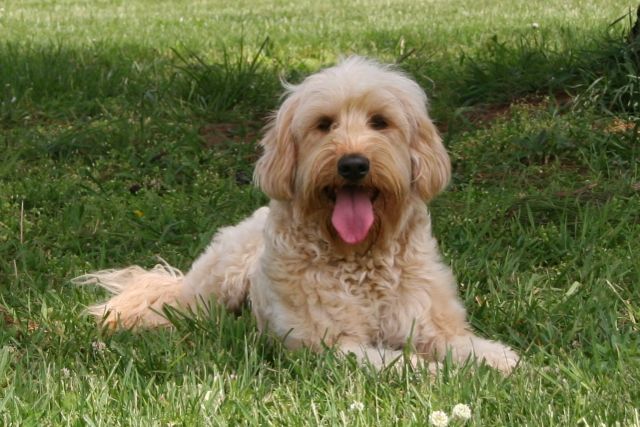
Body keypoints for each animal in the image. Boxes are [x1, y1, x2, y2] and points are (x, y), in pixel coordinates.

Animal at [79, 57, 520, 374]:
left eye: (380, 121)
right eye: (324, 125)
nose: (353, 165)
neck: (360, 260)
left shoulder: (428, 323)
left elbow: (465, 346)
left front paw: (496, 358)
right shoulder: (329, 344)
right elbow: (392, 361)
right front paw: (427, 370)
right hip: (212, 290)